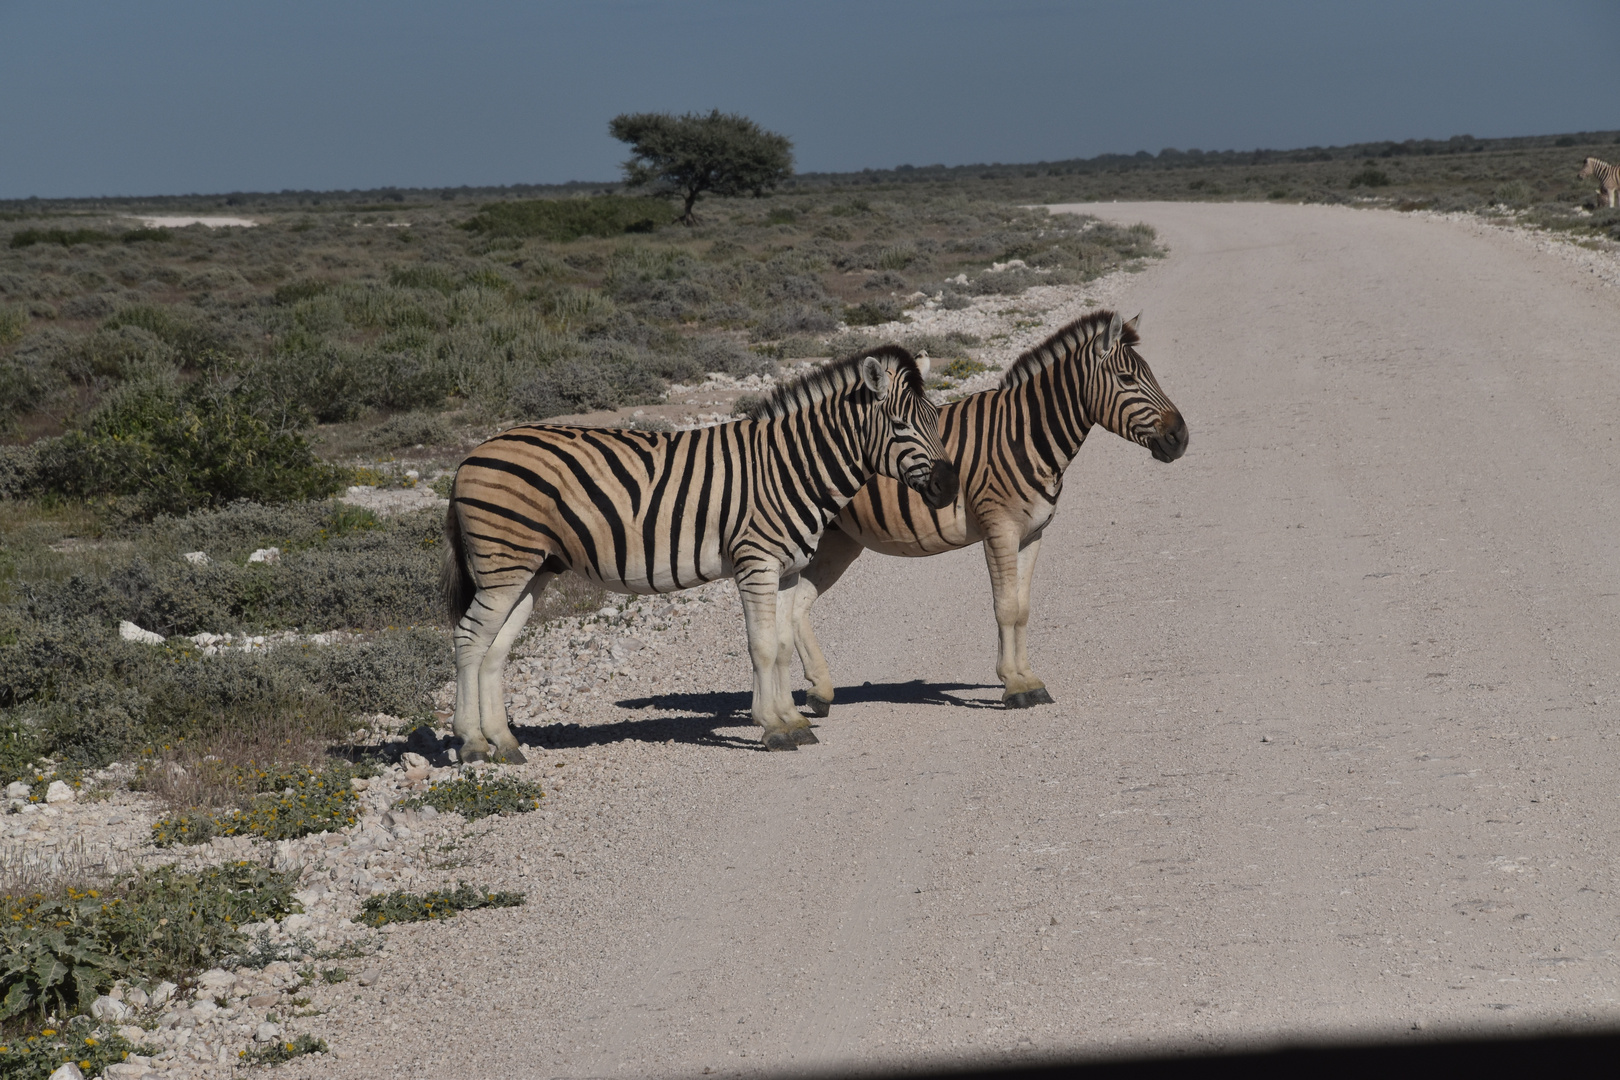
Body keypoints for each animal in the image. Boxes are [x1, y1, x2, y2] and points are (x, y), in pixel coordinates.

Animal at [443, 341, 952, 757]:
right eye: (901, 425)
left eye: (936, 419)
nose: (948, 487)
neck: (793, 467)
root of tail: (470, 456)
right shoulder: (756, 562)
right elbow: (761, 646)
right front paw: (773, 728)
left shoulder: (786, 569)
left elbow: (782, 645)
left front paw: (792, 719)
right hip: (503, 563)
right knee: (469, 638)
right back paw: (471, 743)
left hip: (533, 568)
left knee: (494, 647)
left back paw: (505, 742)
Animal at [790, 312, 1185, 712]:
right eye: (1127, 379)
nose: (1180, 438)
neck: (1027, 437)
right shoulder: (1000, 529)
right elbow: (1005, 606)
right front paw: (1015, 686)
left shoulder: (1032, 534)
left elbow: (1022, 608)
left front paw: (1030, 680)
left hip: (836, 543)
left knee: (796, 604)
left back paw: (819, 691)